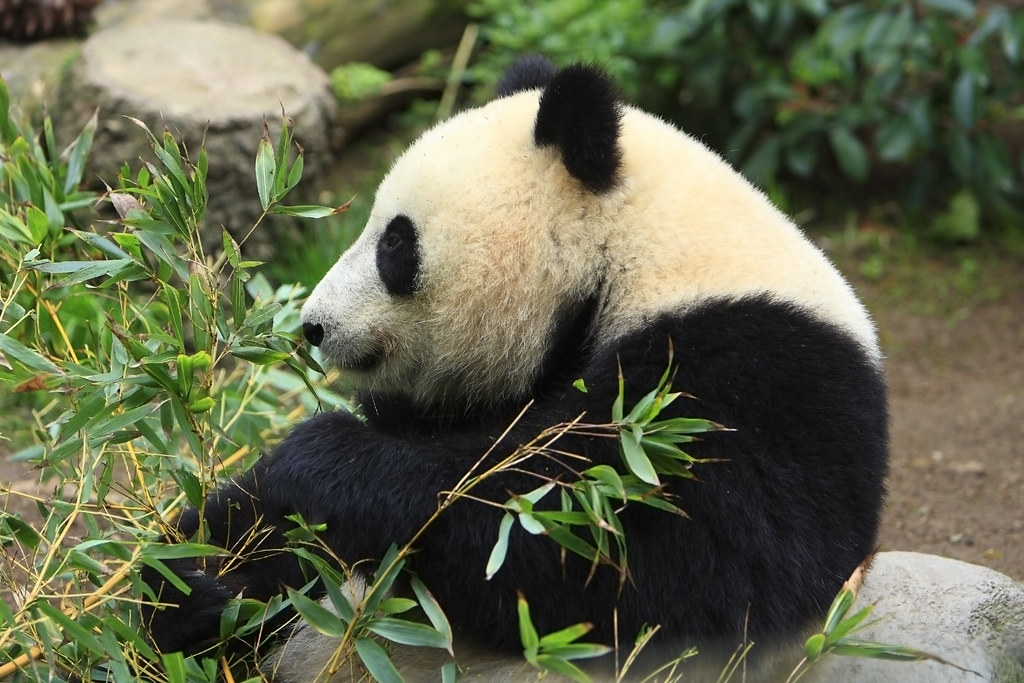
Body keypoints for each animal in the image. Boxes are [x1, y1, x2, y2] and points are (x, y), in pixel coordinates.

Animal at [141, 57, 888, 681]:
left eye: (395, 243)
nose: (313, 326)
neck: (629, 256)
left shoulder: (750, 378)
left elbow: (614, 546)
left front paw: (314, 461)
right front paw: (184, 588)